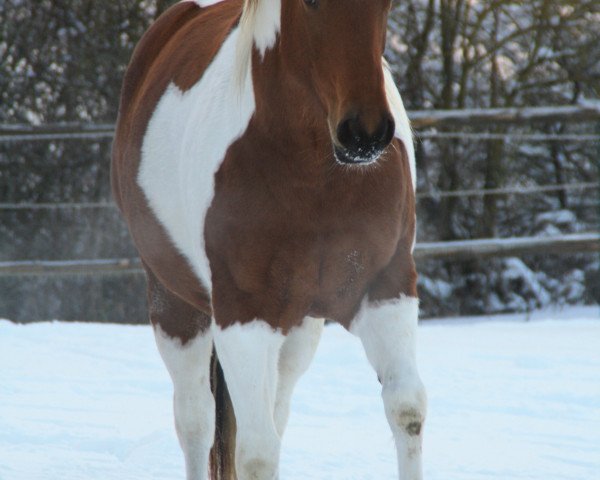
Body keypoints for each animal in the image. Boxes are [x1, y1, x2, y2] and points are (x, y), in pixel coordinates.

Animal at [112, 0, 426, 478]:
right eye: (310, 4)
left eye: (387, 5)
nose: (365, 133)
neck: (318, 175)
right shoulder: (244, 317)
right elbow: (257, 452)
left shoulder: (386, 290)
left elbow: (406, 410)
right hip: (175, 305)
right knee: (196, 421)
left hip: (298, 328)